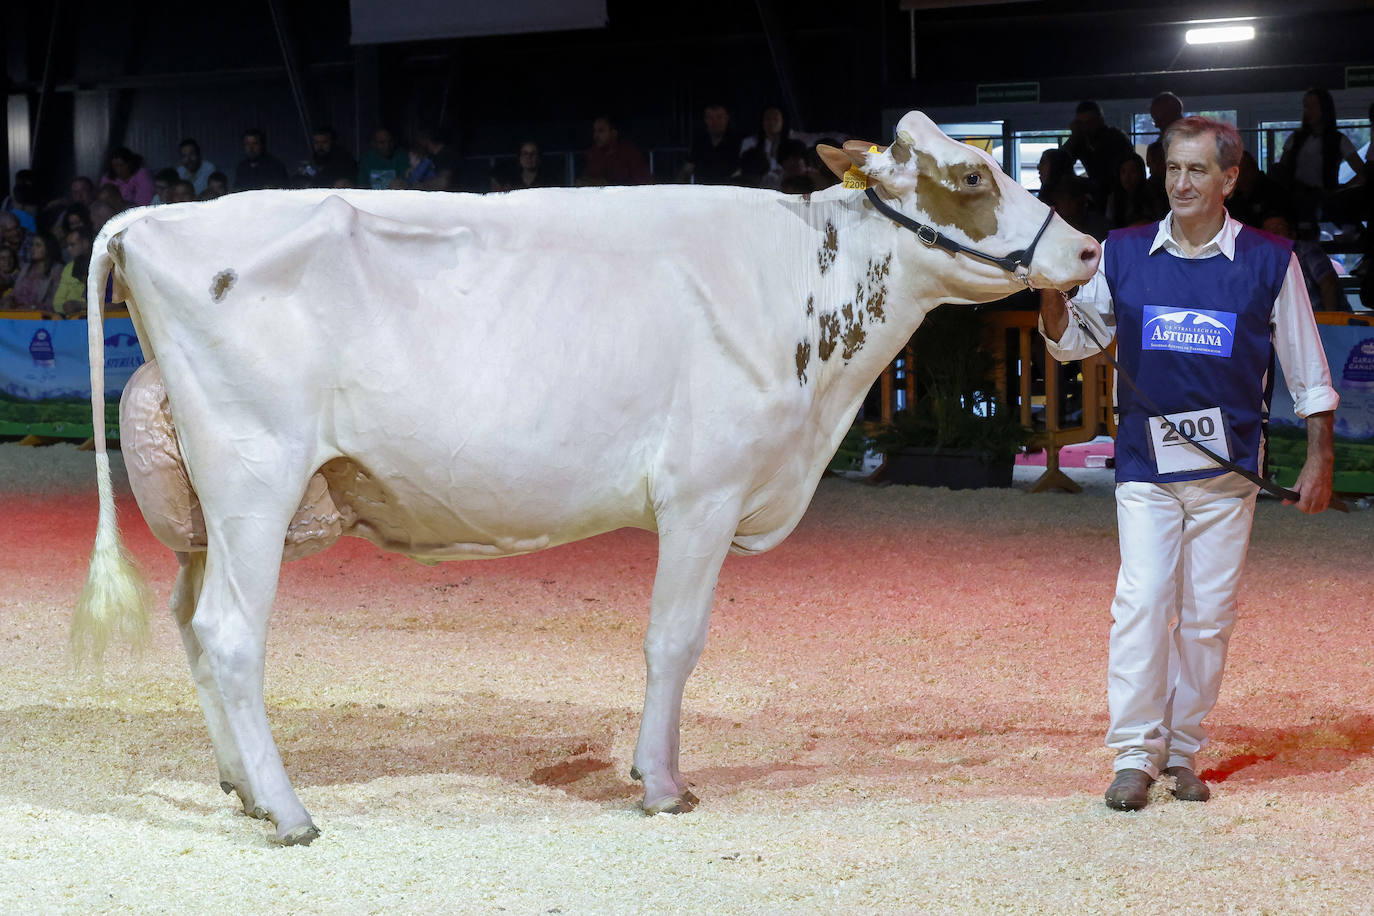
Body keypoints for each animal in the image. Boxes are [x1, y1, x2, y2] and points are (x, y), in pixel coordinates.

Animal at [80, 112, 1099, 845]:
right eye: (972, 177)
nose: (1089, 248)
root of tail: (150, 218)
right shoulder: (703, 493)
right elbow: (674, 641)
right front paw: (663, 786)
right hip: (255, 479)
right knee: (229, 633)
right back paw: (289, 813)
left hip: (208, 504)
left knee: (189, 622)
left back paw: (244, 789)